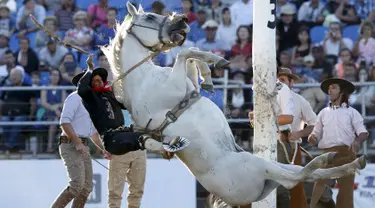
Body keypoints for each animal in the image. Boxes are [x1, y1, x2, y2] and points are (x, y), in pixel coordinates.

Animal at [100, 2, 368, 207]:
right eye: (149, 16)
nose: (183, 20)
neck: (141, 78)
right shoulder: (172, 90)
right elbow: (185, 53)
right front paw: (215, 61)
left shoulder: (186, 85)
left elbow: (190, 57)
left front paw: (209, 73)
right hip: (260, 166)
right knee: (296, 179)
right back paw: (327, 160)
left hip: (273, 165)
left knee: (305, 176)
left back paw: (348, 163)